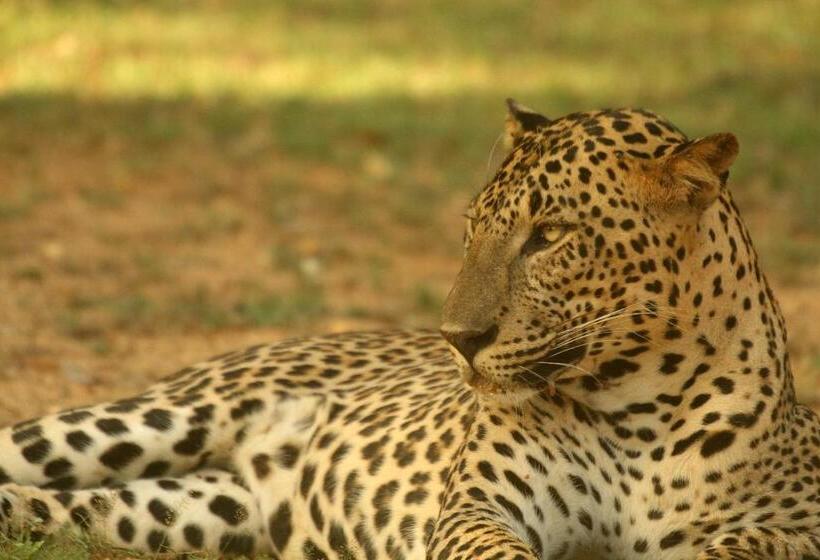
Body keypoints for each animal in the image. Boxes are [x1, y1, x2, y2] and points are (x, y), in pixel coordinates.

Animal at [1, 100, 819, 560]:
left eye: (550, 236)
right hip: (161, 416)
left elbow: (754, 542)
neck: (640, 407)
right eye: (472, 228)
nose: (456, 337)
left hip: (199, 512)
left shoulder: (798, 520)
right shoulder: (481, 508)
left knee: (63, 509)